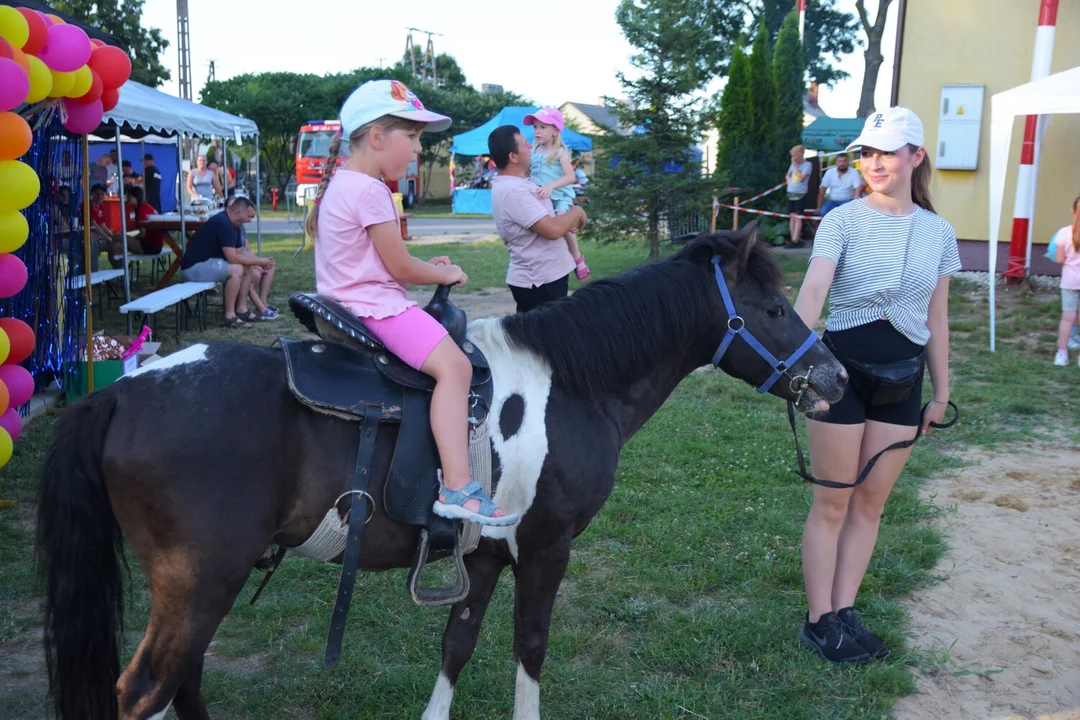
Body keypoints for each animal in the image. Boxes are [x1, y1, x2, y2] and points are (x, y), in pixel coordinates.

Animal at [38, 226, 842, 720]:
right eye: (775, 308)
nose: (834, 378)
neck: (572, 383)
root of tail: (121, 391)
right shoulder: (545, 548)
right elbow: (530, 647)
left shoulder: (481, 556)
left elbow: (458, 643)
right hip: (200, 580)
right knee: (147, 690)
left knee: (185, 680)